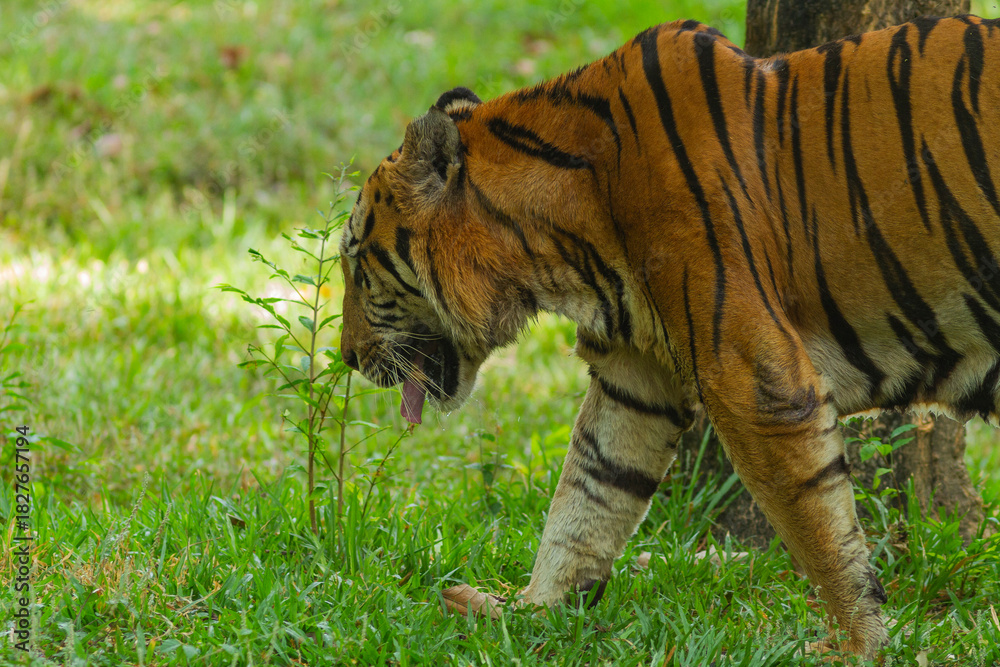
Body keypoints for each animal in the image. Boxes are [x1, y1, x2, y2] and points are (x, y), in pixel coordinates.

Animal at [338, 15, 1000, 659]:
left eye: (354, 262)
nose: (346, 357)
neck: (560, 241)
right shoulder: (635, 379)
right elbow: (589, 494)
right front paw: (530, 612)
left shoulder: (756, 381)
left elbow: (821, 532)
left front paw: (859, 646)